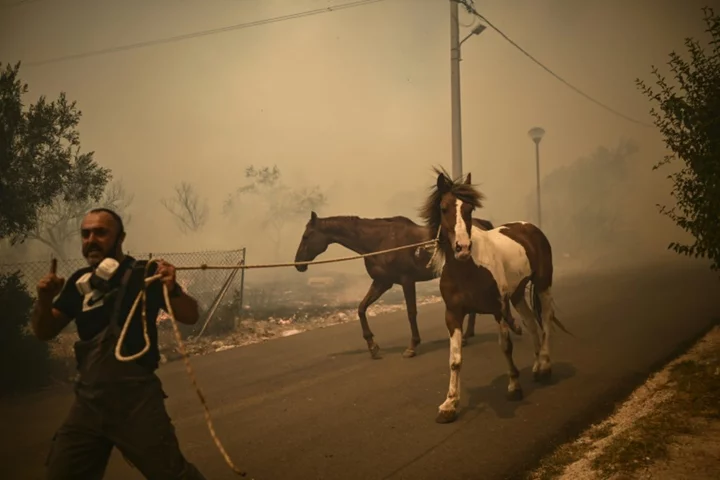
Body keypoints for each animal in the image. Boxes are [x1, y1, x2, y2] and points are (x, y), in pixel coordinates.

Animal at [292, 212, 496, 358]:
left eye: (307, 236)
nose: (298, 264)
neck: (381, 241)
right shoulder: (382, 283)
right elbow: (361, 308)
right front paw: (372, 346)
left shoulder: (407, 281)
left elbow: (411, 313)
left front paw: (412, 346)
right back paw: (467, 335)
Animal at [420, 168, 572, 424]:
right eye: (443, 207)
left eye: (469, 209)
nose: (462, 248)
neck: (467, 269)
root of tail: (529, 227)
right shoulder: (453, 315)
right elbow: (455, 359)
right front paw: (449, 405)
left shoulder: (498, 309)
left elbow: (506, 346)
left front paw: (514, 387)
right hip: (518, 294)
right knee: (531, 324)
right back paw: (537, 366)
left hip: (542, 284)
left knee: (546, 320)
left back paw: (545, 366)